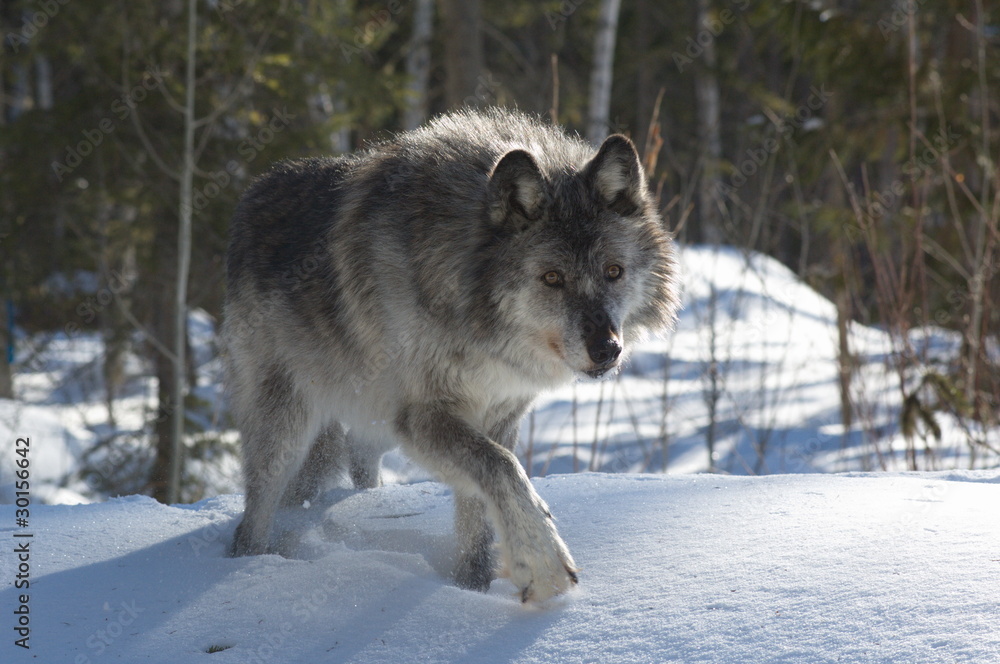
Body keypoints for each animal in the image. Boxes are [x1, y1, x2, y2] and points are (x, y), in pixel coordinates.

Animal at [223, 107, 679, 602]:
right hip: (290, 426)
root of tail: (252, 193)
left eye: (614, 271)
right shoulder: (423, 415)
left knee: (356, 457)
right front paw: (542, 564)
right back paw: (249, 567)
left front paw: (470, 588)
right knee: (256, 514)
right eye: (552, 278)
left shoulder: (498, 415)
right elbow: (503, 468)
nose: (607, 350)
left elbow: (478, 512)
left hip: (373, 422)